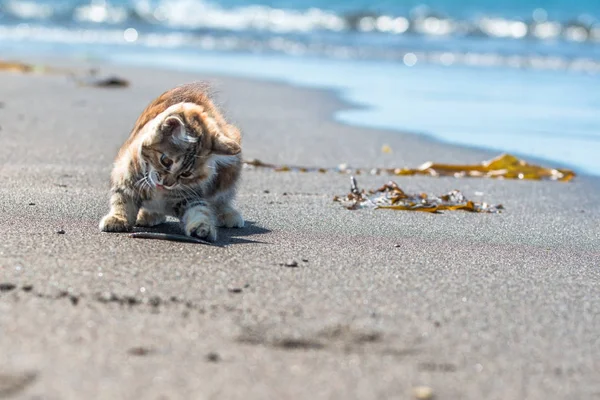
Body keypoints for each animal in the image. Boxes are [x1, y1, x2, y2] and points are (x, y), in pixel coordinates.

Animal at [98, 82, 244, 241]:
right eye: (166, 161)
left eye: (186, 174)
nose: (166, 184)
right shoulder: (124, 178)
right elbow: (121, 201)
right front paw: (118, 218)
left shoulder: (190, 196)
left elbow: (200, 210)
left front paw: (202, 227)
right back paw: (149, 215)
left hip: (229, 169)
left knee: (222, 199)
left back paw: (228, 214)